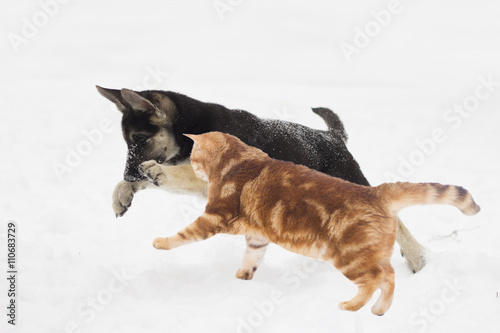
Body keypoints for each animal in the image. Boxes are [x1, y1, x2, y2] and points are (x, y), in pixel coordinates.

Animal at [96, 86, 426, 272]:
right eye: (128, 141)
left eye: (139, 139)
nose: (127, 173)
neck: (191, 129)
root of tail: (332, 136)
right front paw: (123, 192)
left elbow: (181, 172)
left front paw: (156, 173)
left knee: (395, 222)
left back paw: (417, 259)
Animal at [153, 130, 480, 314]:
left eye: (193, 157)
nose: (195, 170)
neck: (238, 157)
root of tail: (376, 192)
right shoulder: (257, 237)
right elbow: (252, 258)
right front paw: (243, 277)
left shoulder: (215, 215)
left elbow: (183, 235)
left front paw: (160, 242)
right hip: (370, 253)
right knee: (389, 277)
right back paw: (378, 310)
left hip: (348, 256)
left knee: (376, 278)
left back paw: (351, 306)